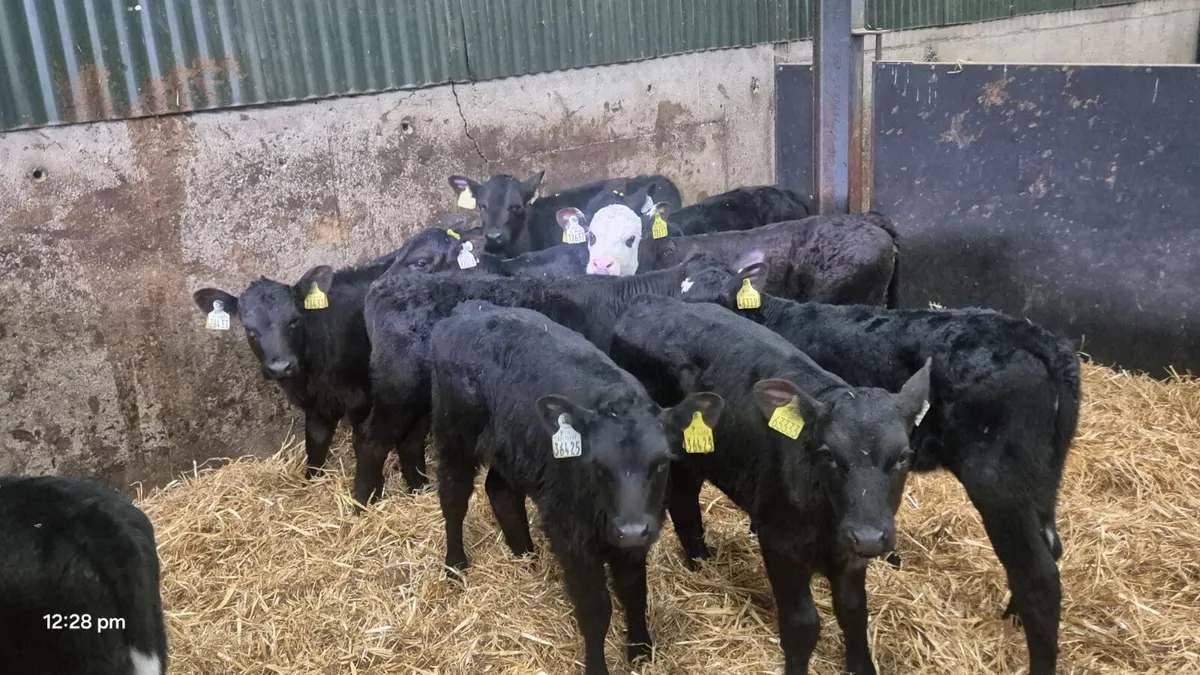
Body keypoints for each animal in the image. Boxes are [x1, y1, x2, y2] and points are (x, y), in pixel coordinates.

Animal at [190, 237, 452, 495]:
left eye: (294, 320)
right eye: (249, 329)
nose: (281, 367)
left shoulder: (362, 399)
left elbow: (362, 442)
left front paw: (374, 491)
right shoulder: (315, 405)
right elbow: (315, 443)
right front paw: (311, 483)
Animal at [354, 256, 719, 508]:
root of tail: (383, 287)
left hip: (421, 398)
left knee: (408, 440)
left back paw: (417, 487)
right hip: (397, 389)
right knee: (372, 441)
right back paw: (364, 501)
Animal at [429, 302, 722, 675]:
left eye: (661, 463)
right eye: (597, 465)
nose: (631, 529)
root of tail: (470, 310)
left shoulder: (634, 538)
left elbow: (634, 591)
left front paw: (641, 649)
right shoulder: (572, 536)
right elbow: (595, 609)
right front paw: (598, 665)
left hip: (511, 447)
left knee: (500, 489)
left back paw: (524, 554)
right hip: (454, 434)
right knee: (453, 497)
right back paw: (455, 565)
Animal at [609, 294, 931, 675]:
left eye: (903, 456)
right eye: (828, 453)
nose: (868, 536)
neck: (826, 519)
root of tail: (647, 305)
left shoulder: (850, 553)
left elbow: (854, 611)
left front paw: (861, 665)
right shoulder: (779, 541)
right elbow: (802, 623)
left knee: (685, 500)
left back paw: (701, 561)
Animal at [677, 253, 1081, 675]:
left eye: (719, 299)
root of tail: (1043, 341)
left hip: (999, 481)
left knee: (1038, 577)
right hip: (1042, 482)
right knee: (1049, 548)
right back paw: (1012, 614)